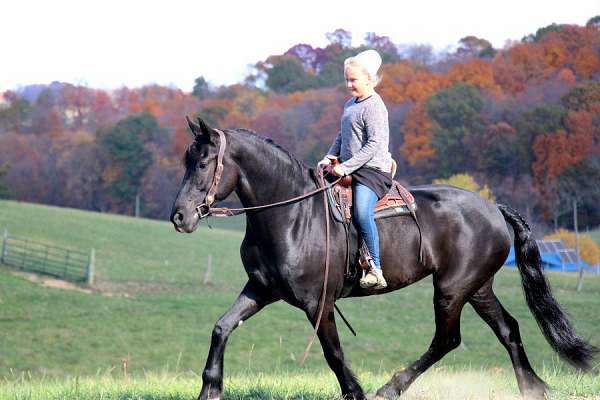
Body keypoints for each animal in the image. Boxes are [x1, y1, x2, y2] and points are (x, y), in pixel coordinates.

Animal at [171, 119, 596, 400]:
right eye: (186, 161)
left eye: (204, 162)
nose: (179, 216)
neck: (292, 214)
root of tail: (493, 208)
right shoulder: (260, 289)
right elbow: (222, 328)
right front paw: (209, 390)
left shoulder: (318, 303)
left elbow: (333, 353)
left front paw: (355, 392)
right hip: (478, 288)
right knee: (508, 329)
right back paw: (532, 388)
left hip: (451, 289)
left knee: (447, 339)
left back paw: (391, 387)